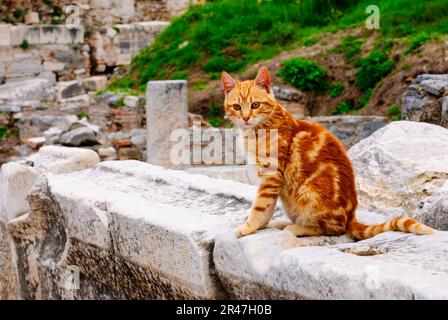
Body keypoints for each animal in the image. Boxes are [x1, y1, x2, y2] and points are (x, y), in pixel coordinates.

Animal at [222, 67, 436, 240]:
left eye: (255, 105)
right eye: (237, 107)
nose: (246, 118)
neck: (258, 129)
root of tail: (350, 217)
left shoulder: (271, 175)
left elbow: (260, 205)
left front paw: (249, 227)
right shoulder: (271, 180)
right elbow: (268, 207)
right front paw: (260, 226)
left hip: (309, 192)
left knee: (332, 229)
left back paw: (297, 228)